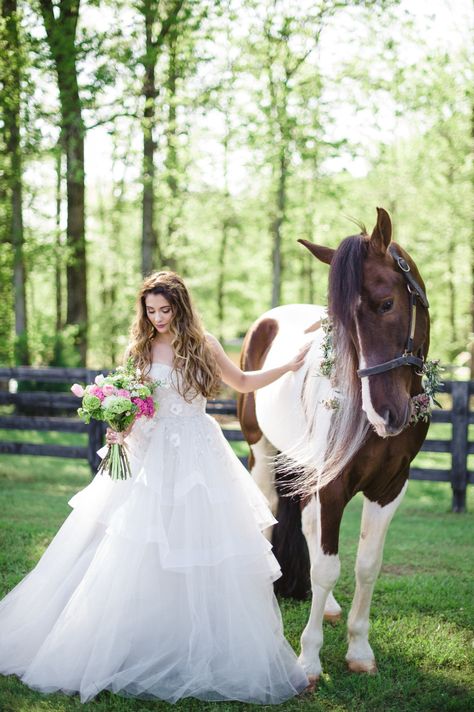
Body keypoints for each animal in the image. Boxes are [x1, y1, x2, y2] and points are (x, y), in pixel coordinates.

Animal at [237, 207, 430, 684]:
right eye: (342, 324)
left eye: (386, 303)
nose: (385, 414)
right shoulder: (332, 485)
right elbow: (327, 567)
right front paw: (308, 661)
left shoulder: (390, 487)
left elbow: (366, 566)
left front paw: (359, 650)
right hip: (263, 453)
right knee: (269, 510)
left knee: (307, 528)